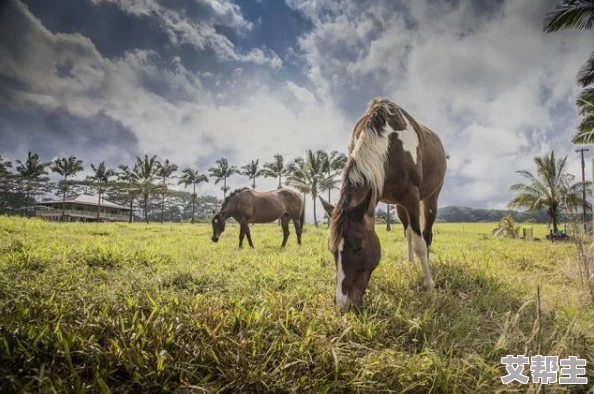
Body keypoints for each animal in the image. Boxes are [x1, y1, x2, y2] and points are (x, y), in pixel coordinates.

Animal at [320, 97, 444, 308]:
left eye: (358, 247)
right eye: (332, 250)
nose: (343, 304)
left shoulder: (412, 196)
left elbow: (420, 244)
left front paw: (428, 284)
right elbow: (410, 237)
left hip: (430, 197)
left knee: (425, 234)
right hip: (400, 206)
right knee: (408, 233)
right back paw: (411, 265)